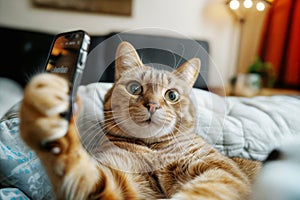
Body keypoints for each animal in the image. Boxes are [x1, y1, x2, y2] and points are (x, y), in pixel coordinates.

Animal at [20, 41, 260, 199]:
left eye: (172, 95)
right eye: (135, 88)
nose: (152, 105)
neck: (153, 149)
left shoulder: (221, 172)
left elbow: (206, 191)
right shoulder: (120, 180)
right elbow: (81, 171)